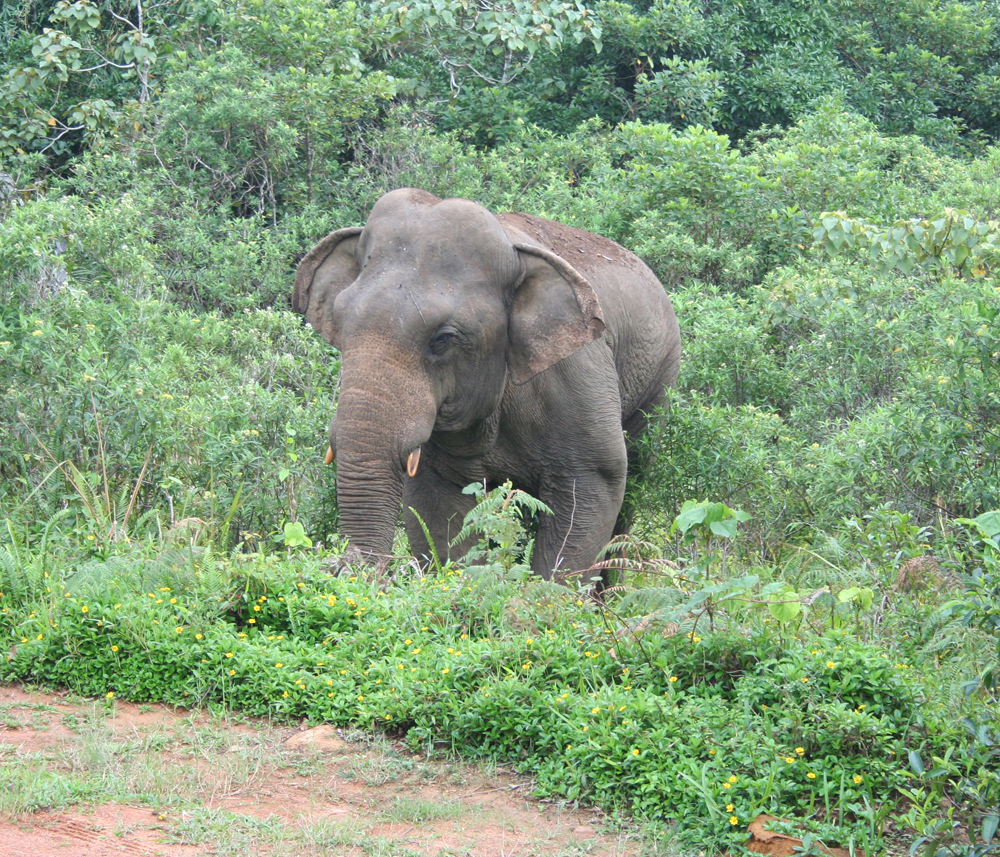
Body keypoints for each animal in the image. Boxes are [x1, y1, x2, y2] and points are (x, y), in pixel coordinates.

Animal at [292, 188, 681, 579]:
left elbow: (593, 485)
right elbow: (438, 508)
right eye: (339, 320)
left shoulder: (577, 380)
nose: (345, 566)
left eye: (442, 339)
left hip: (660, 380)